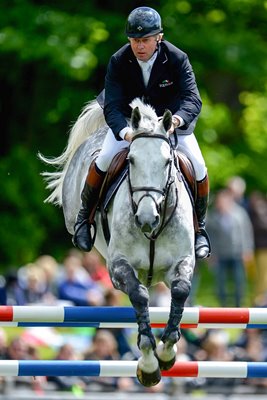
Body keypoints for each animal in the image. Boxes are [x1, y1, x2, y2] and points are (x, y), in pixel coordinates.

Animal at [38, 97, 196, 388]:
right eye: (131, 160)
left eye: (167, 161)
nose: (146, 219)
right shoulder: (118, 267)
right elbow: (140, 295)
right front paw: (149, 365)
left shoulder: (182, 261)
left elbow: (180, 290)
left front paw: (167, 353)